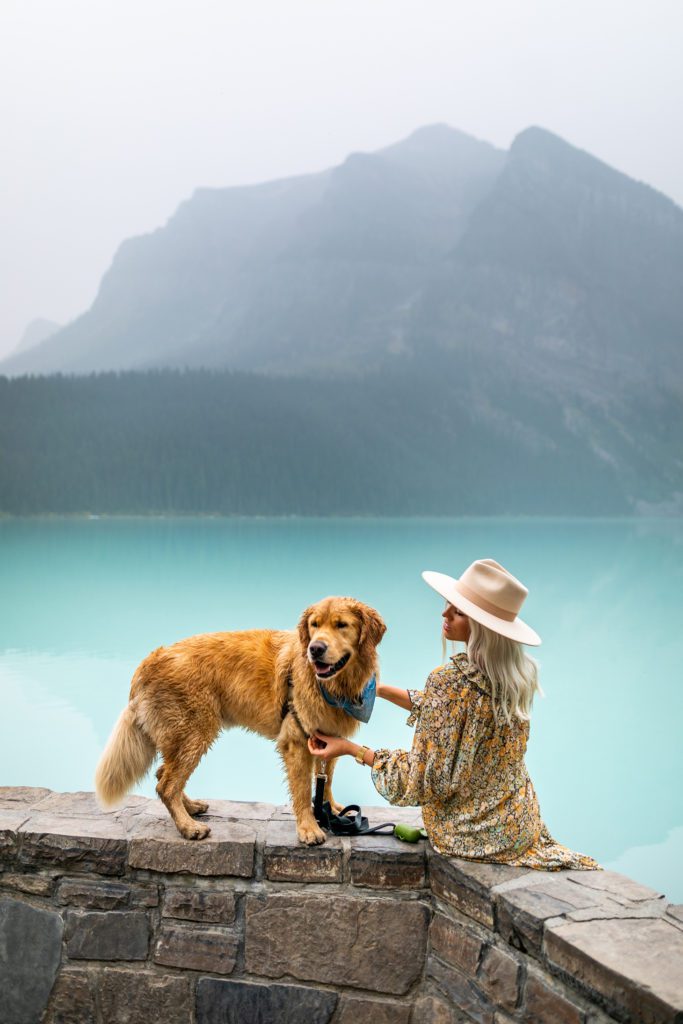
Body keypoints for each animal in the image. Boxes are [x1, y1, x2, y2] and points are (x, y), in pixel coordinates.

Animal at [94, 598, 387, 843]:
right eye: (314, 625)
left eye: (341, 625)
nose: (315, 649)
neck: (335, 686)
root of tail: (149, 661)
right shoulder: (296, 740)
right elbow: (304, 790)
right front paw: (309, 827)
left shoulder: (328, 737)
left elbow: (325, 780)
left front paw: (331, 809)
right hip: (194, 732)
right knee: (166, 785)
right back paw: (188, 827)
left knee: (162, 775)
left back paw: (190, 808)